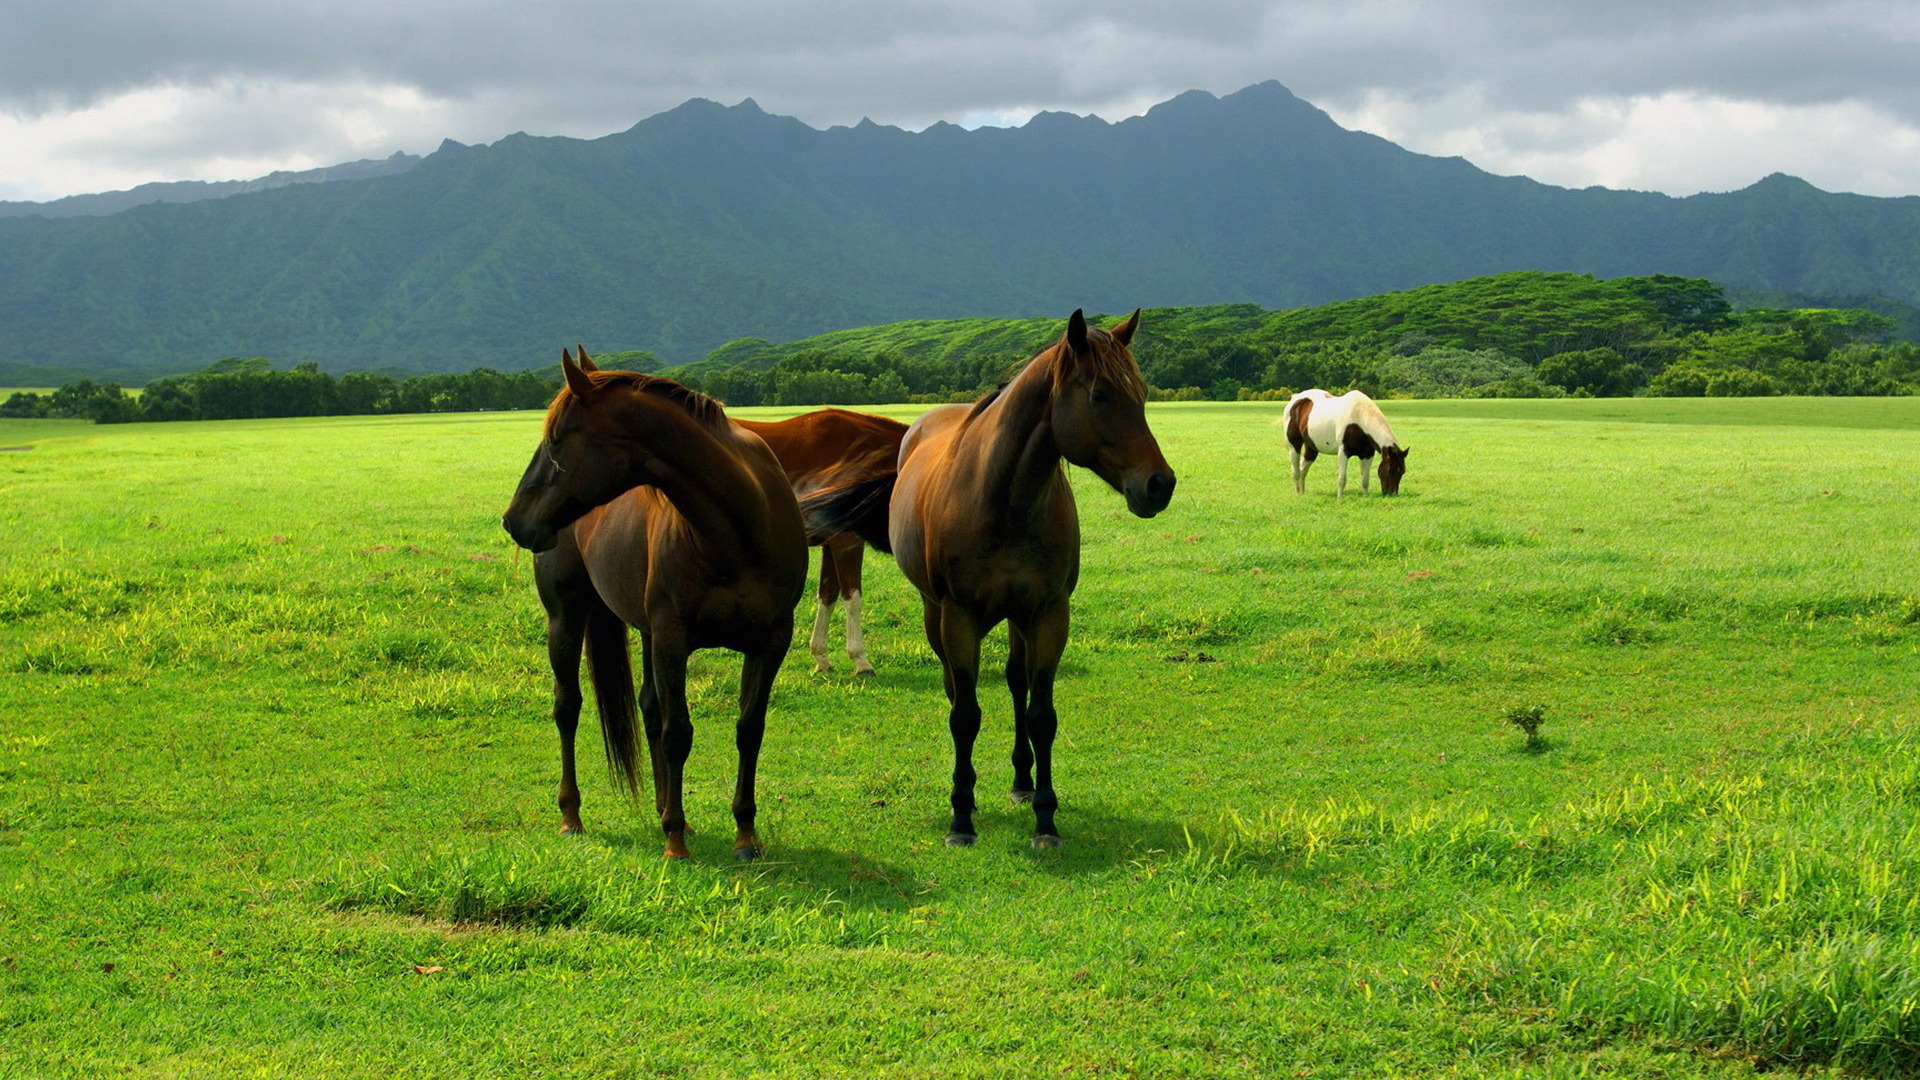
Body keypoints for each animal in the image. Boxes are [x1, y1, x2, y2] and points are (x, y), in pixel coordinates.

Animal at [499, 345, 806, 857]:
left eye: (557, 442)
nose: (513, 520)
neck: (739, 528)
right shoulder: (672, 638)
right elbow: (677, 732)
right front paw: (675, 841)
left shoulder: (771, 640)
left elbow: (749, 730)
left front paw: (745, 833)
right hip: (567, 619)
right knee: (568, 707)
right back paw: (573, 815)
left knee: (647, 707)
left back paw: (666, 810)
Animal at [737, 405, 910, 668]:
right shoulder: (847, 542)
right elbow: (852, 597)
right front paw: (860, 660)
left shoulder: (831, 544)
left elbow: (828, 596)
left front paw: (820, 656)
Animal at [806, 307, 1167, 845]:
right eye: (1100, 395)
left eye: (1141, 394)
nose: (1160, 484)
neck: (1004, 501)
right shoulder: (959, 617)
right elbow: (965, 714)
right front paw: (961, 814)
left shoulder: (1048, 614)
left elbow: (1041, 714)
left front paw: (1045, 815)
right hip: (936, 614)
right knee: (956, 690)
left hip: (1018, 618)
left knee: (1017, 683)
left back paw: (1021, 780)